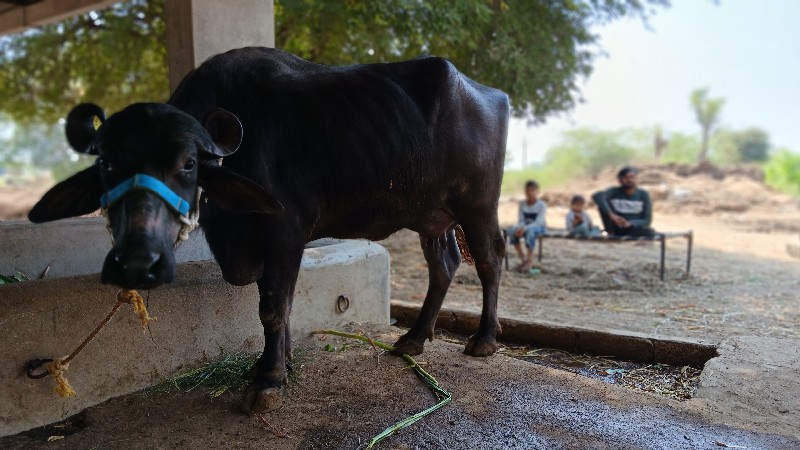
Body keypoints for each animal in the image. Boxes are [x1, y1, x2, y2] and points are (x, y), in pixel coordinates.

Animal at [31, 47, 510, 414]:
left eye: (188, 164)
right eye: (107, 164)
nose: (136, 260)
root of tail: (490, 93)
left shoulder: (284, 236)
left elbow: (273, 308)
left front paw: (268, 380)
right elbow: (283, 305)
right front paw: (278, 363)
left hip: (478, 205)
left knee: (490, 258)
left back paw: (484, 339)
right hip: (432, 215)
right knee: (444, 264)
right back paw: (413, 339)